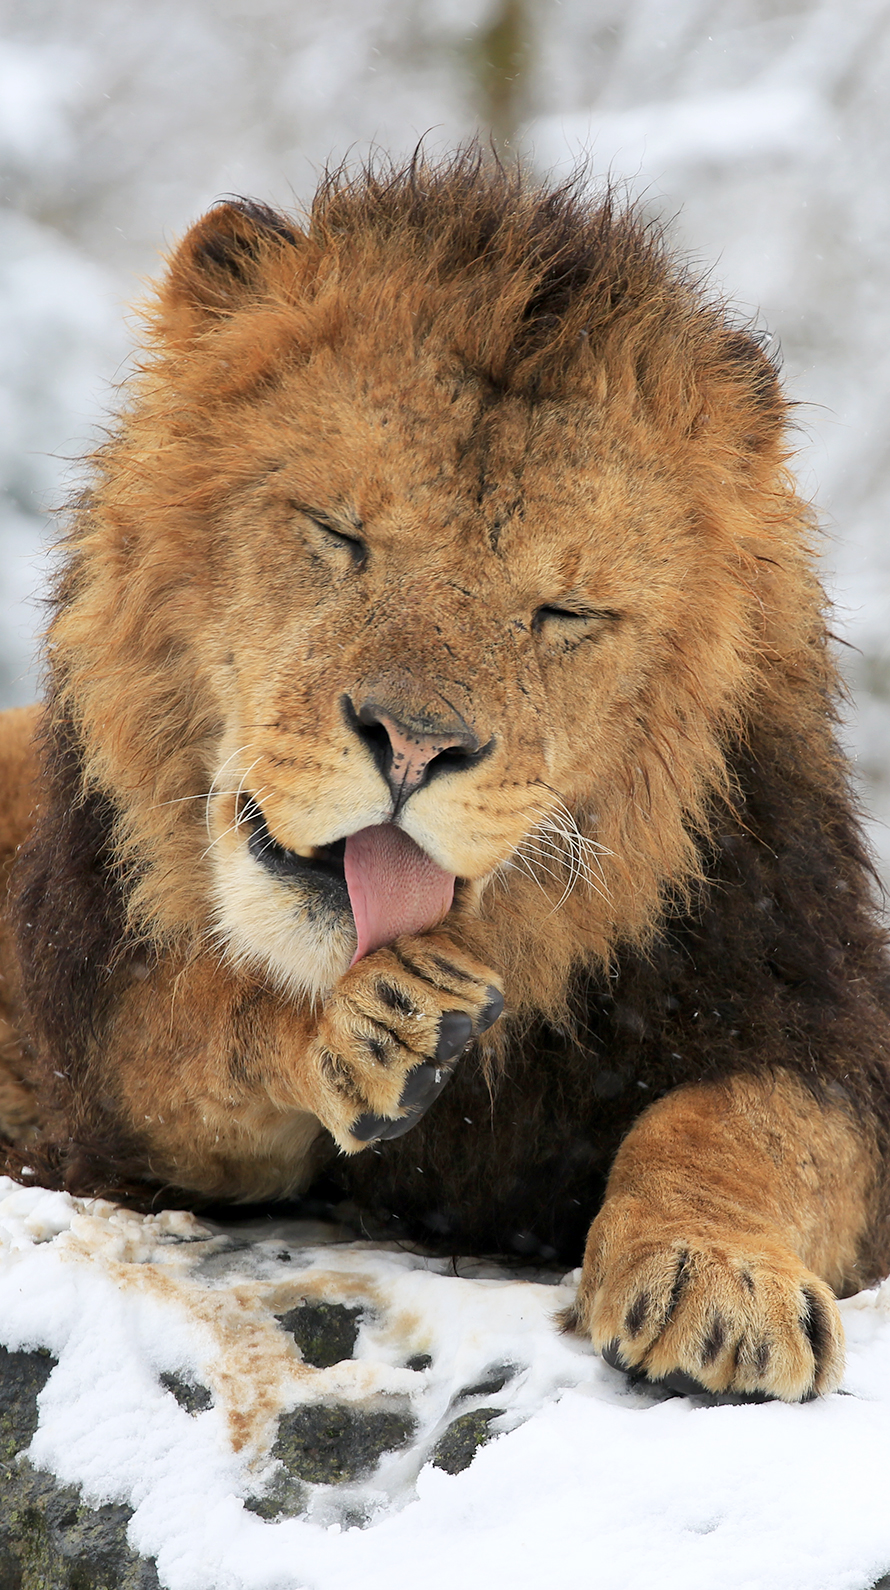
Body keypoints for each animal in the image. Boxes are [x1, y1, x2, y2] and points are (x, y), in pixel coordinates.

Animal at [1, 155, 890, 1405]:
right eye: (336, 532)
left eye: (563, 611)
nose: (413, 744)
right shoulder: (98, 1092)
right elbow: (190, 1027)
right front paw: (365, 1020)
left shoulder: (813, 1014)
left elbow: (742, 1124)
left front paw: (717, 1280)